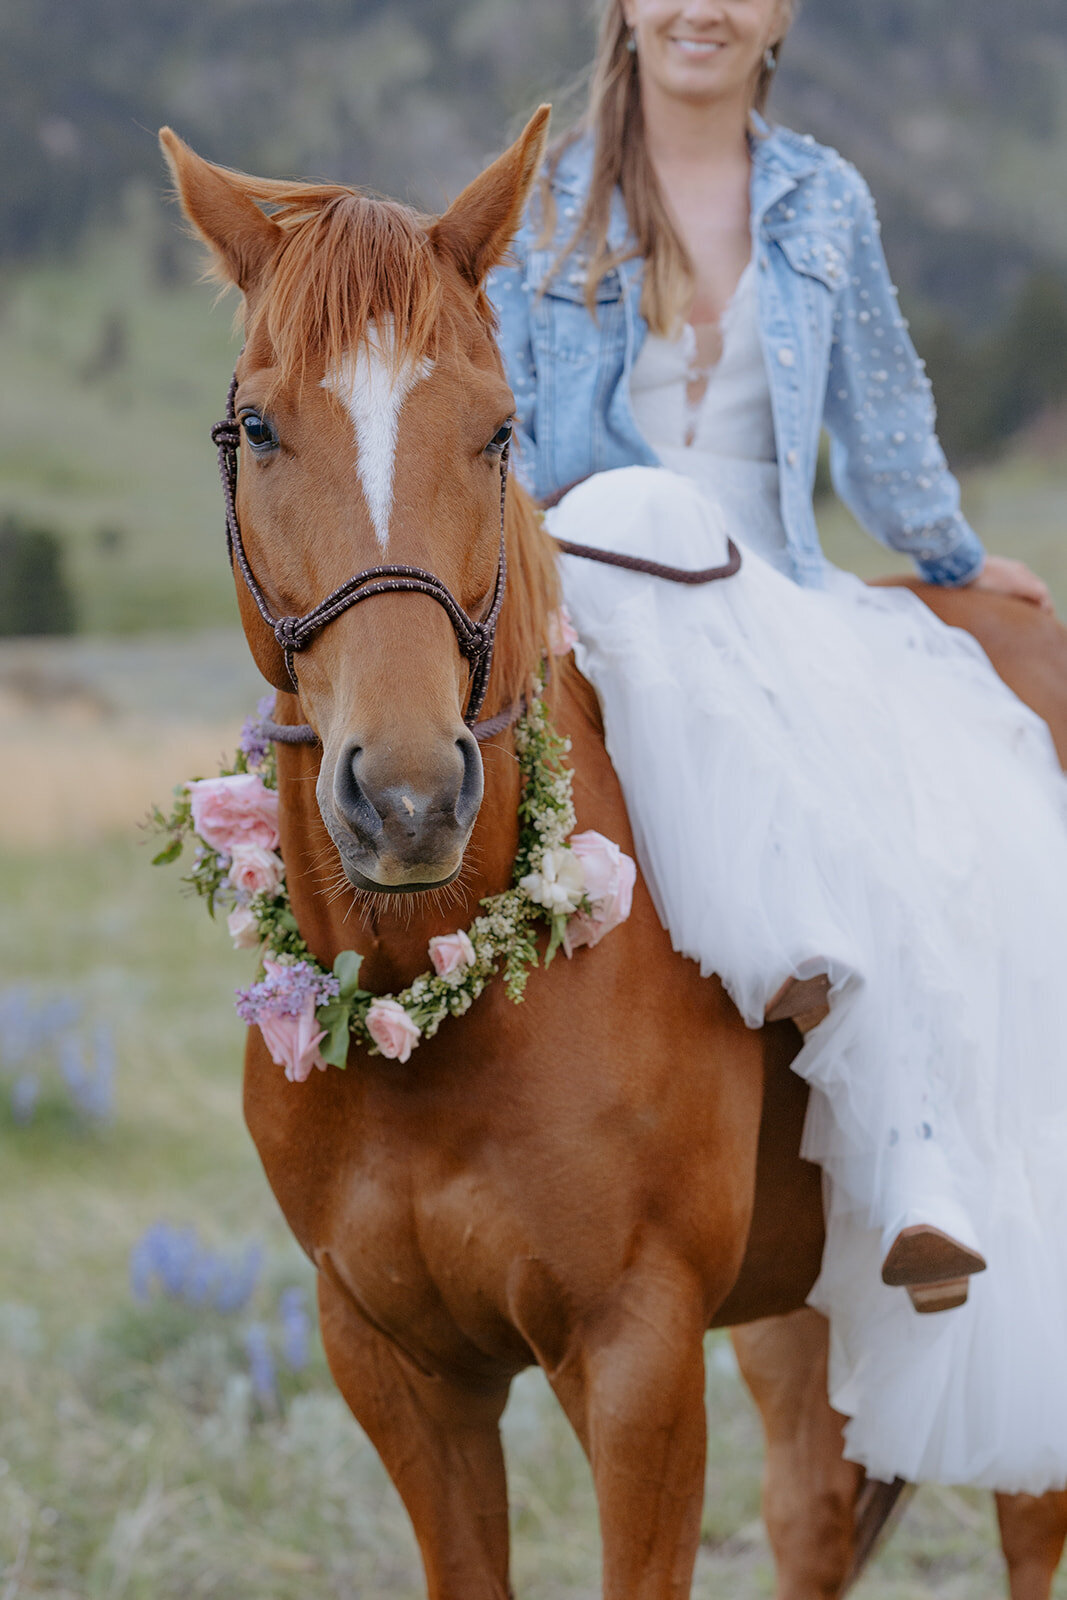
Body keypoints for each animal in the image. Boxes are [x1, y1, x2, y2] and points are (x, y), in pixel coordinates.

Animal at [163, 109, 1067, 1587]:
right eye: (258, 425)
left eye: (495, 431)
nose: (408, 798)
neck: (434, 1004)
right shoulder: (398, 1368)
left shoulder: (636, 1357)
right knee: (814, 1513)